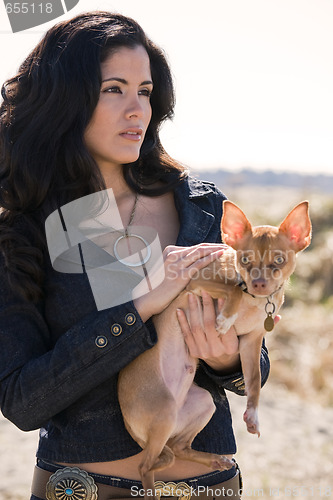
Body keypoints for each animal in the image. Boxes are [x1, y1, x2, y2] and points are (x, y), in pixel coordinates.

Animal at [117, 199, 312, 496]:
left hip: (202, 404)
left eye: (279, 261)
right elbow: (232, 289)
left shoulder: (250, 342)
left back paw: (213, 460)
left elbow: (254, 382)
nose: (258, 283)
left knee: (177, 448)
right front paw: (226, 317)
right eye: (244, 260)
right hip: (164, 413)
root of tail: (129, 426)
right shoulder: (195, 283)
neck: (255, 300)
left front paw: (253, 416)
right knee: (146, 465)